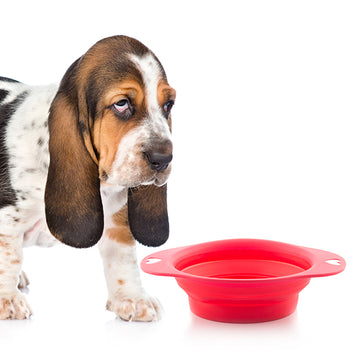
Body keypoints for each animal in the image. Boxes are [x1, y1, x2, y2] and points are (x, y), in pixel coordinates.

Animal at [0, 34, 176, 320]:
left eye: (168, 105)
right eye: (122, 104)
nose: (163, 158)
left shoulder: (118, 219)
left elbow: (122, 258)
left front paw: (132, 297)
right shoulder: (7, 220)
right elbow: (8, 257)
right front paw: (7, 299)